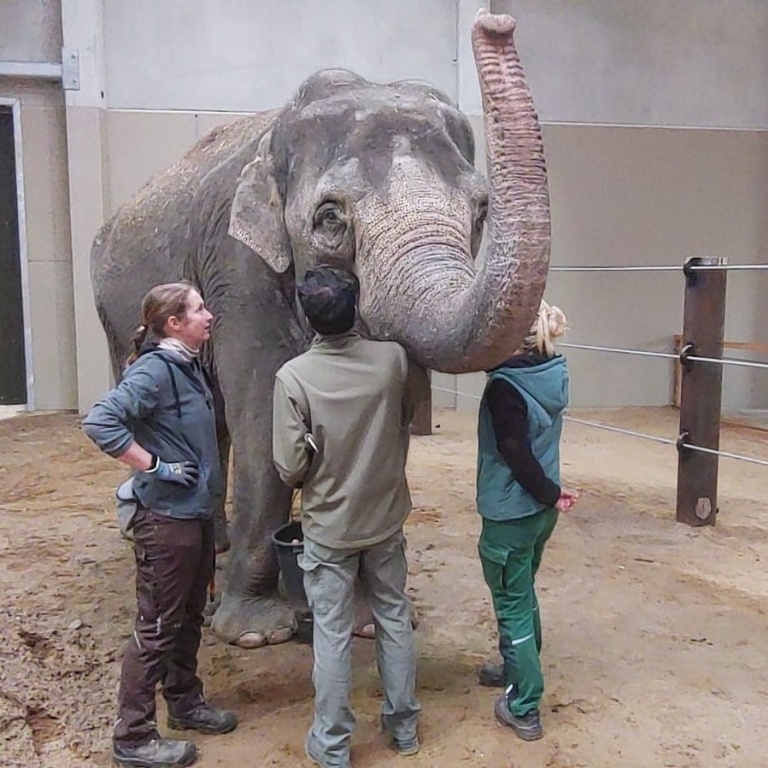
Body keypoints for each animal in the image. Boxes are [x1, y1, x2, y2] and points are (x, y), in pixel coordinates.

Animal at [91, 12, 552, 648]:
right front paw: (255, 633)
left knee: (211, 419)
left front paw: (366, 621)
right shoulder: (236, 268)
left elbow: (383, 421)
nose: (496, 21)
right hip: (114, 313)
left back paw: (219, 545)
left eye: (482, 211)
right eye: (329, 218)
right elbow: (263, 415)